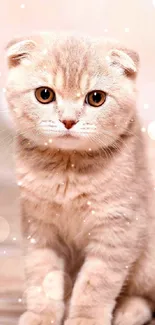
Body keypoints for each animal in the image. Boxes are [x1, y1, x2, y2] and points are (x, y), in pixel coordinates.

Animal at [5, 32, 155, 324]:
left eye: (96, 98)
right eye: (44, 94)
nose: (68, 120)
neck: (68, 169)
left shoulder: (118, 229)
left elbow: (95, 284)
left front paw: (86, 319)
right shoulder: (39, 228)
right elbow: (42, 274)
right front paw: (41, 314)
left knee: (146, 297)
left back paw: (128, 311)